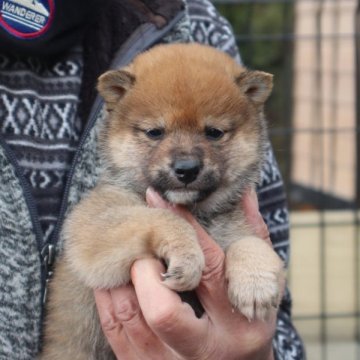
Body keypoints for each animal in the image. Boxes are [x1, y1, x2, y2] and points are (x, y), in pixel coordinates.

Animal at [40, 42, 284, 358]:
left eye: (214, 132)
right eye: (155, 132)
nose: (186, 169)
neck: (196, 211)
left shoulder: (238, 226)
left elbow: (251, 242)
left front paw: (256, 282)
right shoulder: (93, 226)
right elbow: (161, 218)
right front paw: (187, 253)